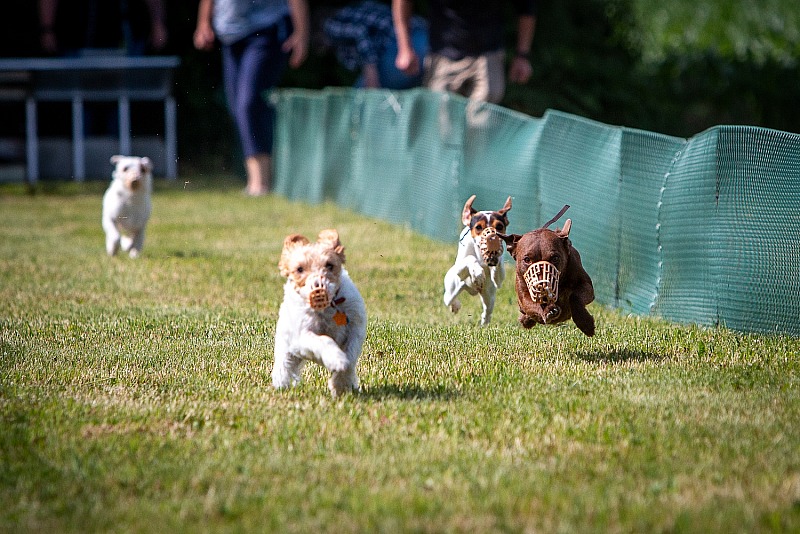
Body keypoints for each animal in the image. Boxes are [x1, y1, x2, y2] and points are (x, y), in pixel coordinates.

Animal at [272, 230, 366, 398]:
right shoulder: (301, 336)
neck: (328, 308)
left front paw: (340, 384)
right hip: (286, 347)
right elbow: (323, 340)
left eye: (329, 265)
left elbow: (350, 356)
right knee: (283, 366)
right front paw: (336, 360)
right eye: (300, 269)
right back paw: (281, 385)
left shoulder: (355, 328)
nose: (318, 288)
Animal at [444, 196, 512, 326]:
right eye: (478, 227)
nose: (492, 238)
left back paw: (485, 324)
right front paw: (478, 273)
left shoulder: (499, 280)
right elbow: (470, 258)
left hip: (489, 296)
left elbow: (498, 271)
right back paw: (455, 305)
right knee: (449, 299)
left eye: (499, 226)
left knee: (487, 311)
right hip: (452, 287)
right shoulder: (459, 267)